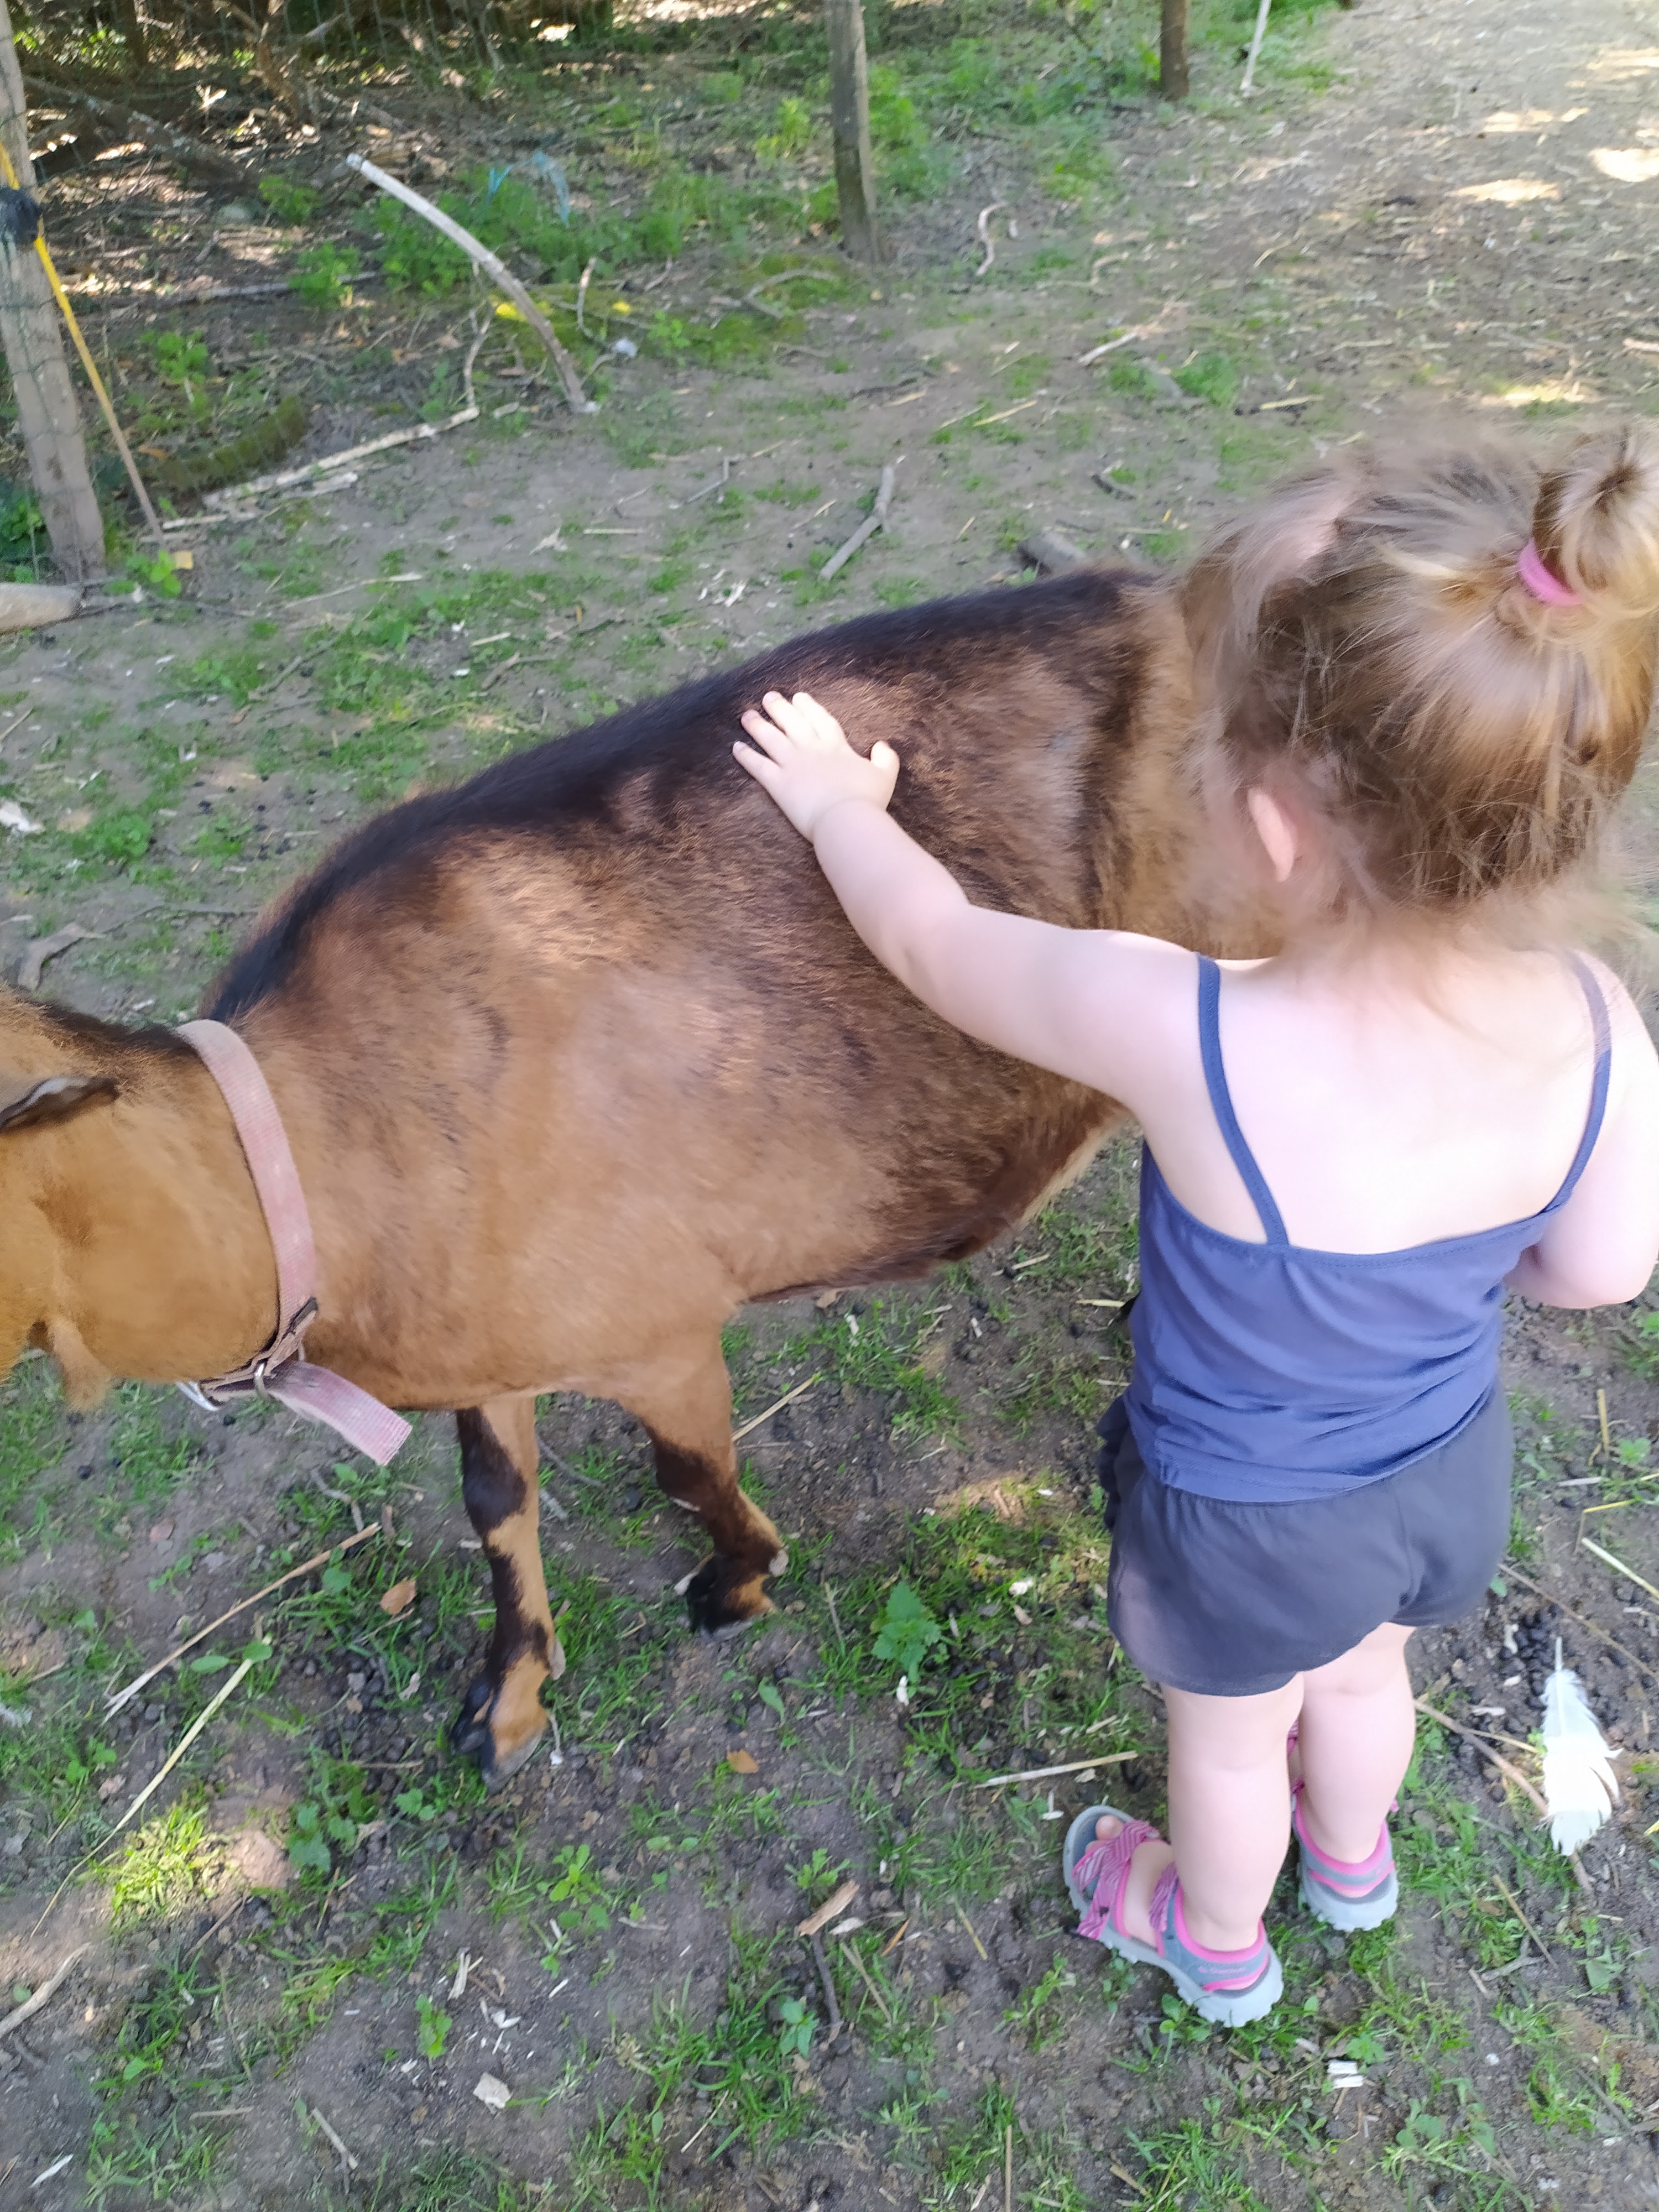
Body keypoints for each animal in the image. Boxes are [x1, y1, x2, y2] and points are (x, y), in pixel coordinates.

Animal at [0, 566, 1209, 1787]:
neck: (306, 1155)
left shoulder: (659, 1326)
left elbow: (688, 1473)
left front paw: (740, 1581)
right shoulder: (489, 1336)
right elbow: (494, 1498)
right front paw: (509, 1699)